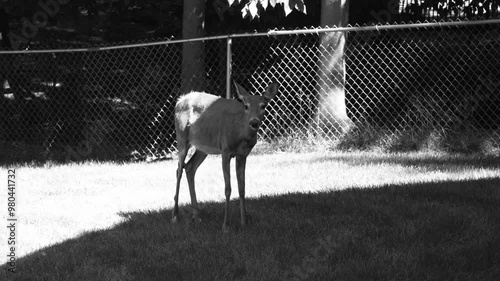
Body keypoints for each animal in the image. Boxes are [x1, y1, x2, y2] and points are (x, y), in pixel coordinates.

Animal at [173, 80, 280, 230]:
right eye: (246, 106)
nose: (254, 122)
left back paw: (196, 215)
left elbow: (242, 188)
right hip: (182, 138)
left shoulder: (243, 155)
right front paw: (225, 225)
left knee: (189, 167)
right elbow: (228, 188)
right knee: (179, 170)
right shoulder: (225, 150)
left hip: (203, 147)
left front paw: (244, 222)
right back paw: (175, 216)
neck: (240, 134)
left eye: (263, 106)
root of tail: (179, 100)